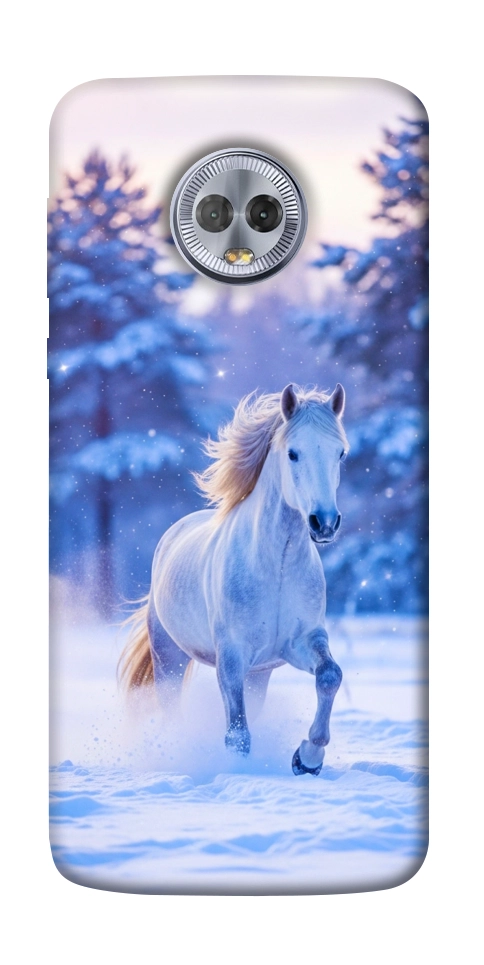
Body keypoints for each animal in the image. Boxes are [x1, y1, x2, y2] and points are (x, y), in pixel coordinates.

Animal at [119, 382, 348, 775]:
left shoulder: (301, 642)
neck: (276, 567)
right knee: (171, 709)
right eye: (293, 453)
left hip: (259, 674)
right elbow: (237, 734)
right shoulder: (231, 656)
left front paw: (307, 758)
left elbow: (330, 676)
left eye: (340, 453)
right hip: (169, 658)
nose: (324, 523)